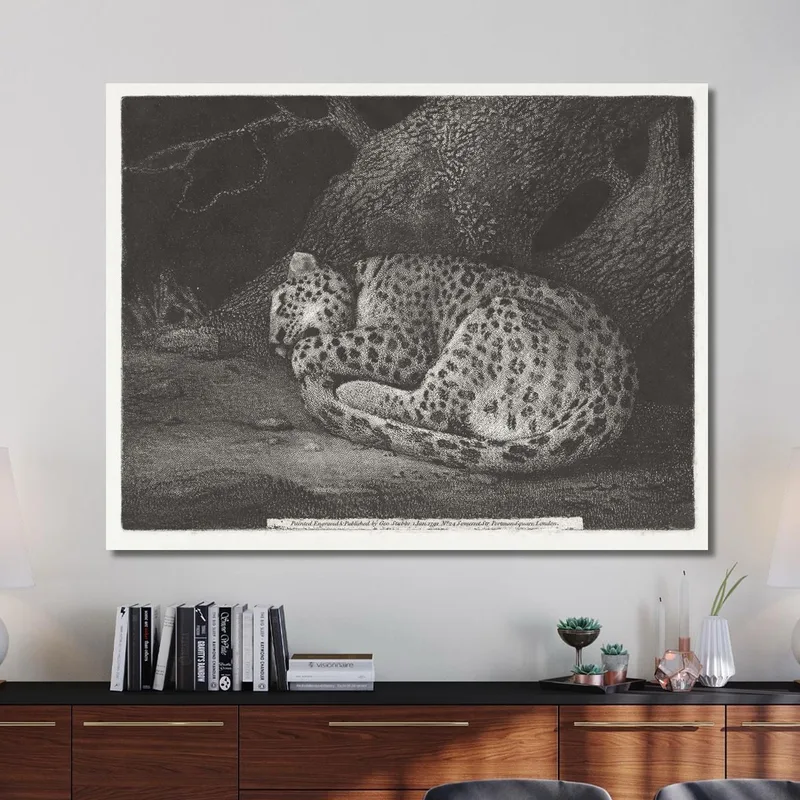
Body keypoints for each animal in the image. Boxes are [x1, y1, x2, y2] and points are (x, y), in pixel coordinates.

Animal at [269, 251, 637, 473]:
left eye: (282, 303)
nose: (274, 345)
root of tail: (618, 391)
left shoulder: (405, 344)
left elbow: (334, 343)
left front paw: (302, 357)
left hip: (491, 320)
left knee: (432, 407)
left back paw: (351, 390)